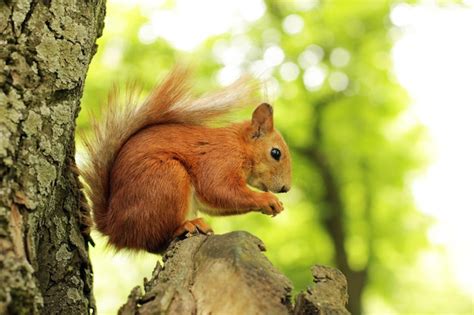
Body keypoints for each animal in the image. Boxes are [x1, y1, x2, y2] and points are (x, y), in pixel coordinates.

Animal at [79, 67, 290, 254]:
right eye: (275, 153)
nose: (285, 188)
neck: (240, 146)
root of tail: (113, 227)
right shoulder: (220, 159)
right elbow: (220, 189)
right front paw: (268, 200)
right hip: (167, 178)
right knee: (155, 237)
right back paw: (185, 226)